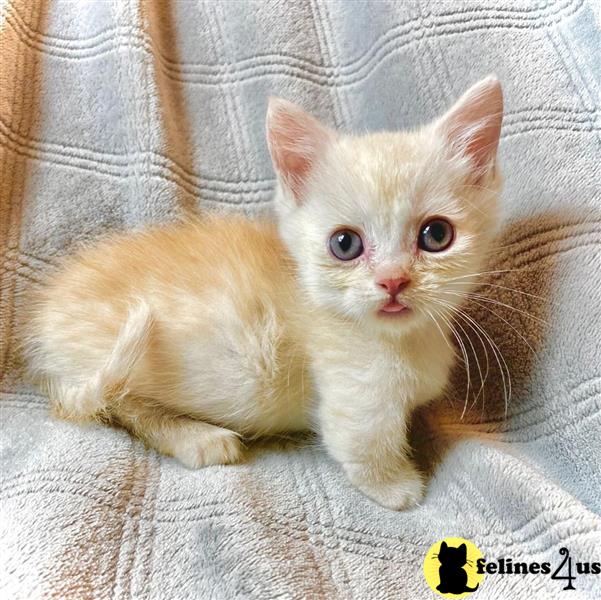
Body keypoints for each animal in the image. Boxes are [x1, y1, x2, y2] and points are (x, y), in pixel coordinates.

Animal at [22, 76, 502, 510]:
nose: (393, 280)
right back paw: (197, 437)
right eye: (345, 244)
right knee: (121, 403)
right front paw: (395, 486)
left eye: (436, 235)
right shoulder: (354, 390)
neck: (404, 341)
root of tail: (45, 321)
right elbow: (362, 443)